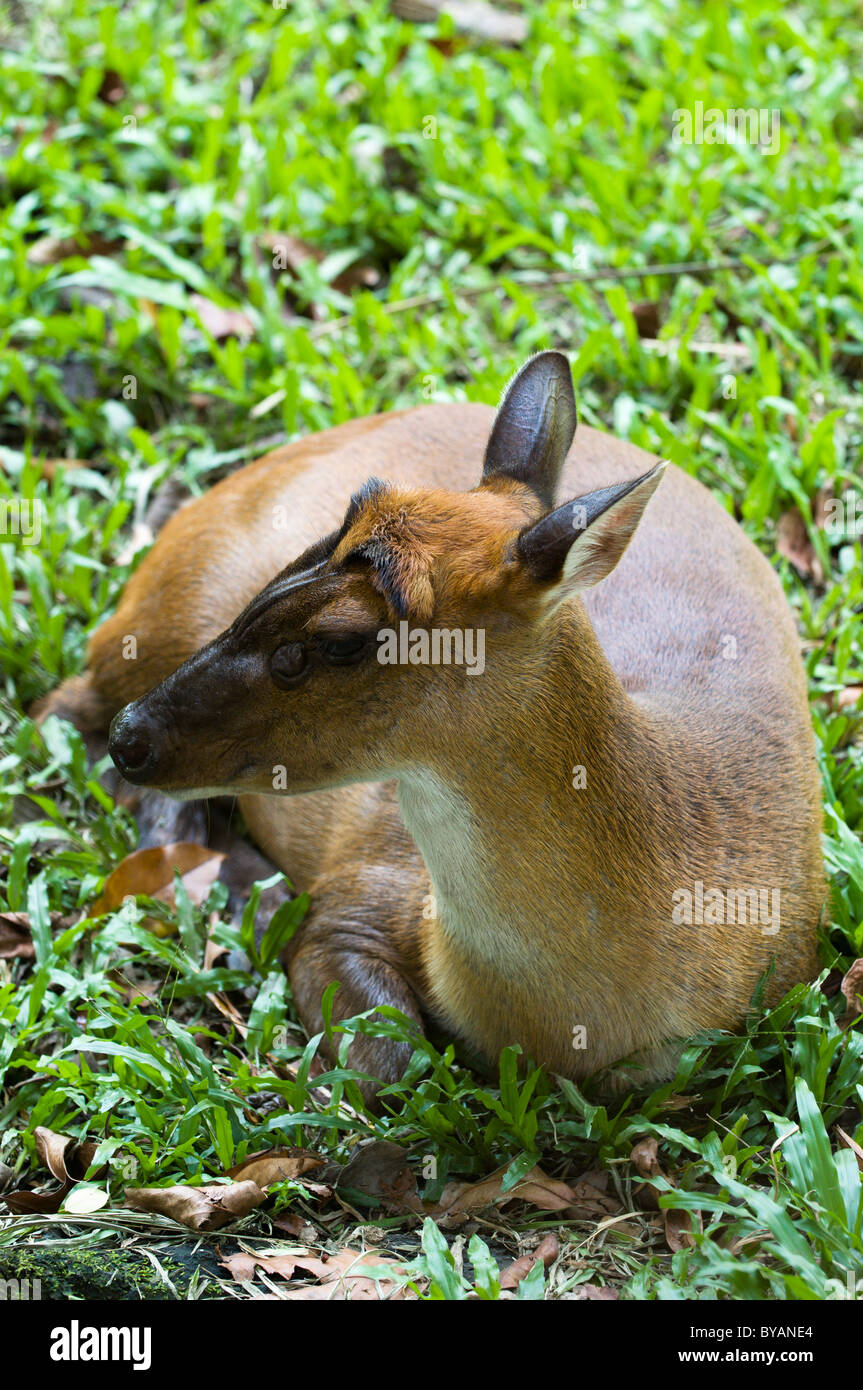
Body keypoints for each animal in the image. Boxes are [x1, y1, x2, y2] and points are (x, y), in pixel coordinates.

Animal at [40, 355, 822, 1095]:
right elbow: (391, 1062)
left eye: (341, 641)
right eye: (293, 564)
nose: (135, 738)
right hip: (168, 613)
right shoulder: (357, 894)